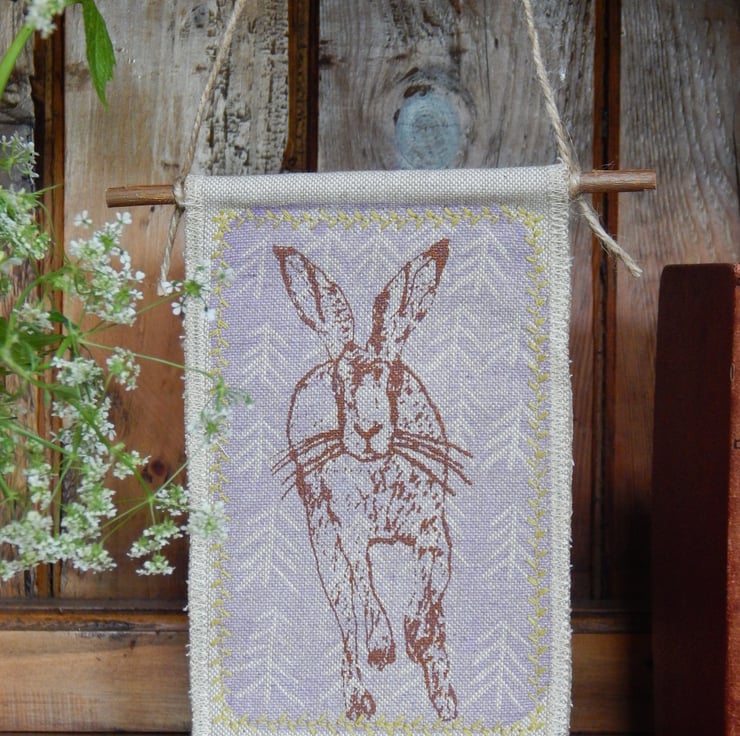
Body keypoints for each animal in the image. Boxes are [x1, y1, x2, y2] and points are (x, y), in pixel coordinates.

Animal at [272, 239, 470, 721]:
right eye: (339, 386)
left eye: (395, 379)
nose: (367, 431)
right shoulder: (350, 533)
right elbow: (365, 586)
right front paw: (385, 646)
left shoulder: (433, 531)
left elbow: (431, 585)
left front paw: (417, 634)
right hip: (321, 533)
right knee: (347, 620)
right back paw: (361, 698)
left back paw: (444, 697)